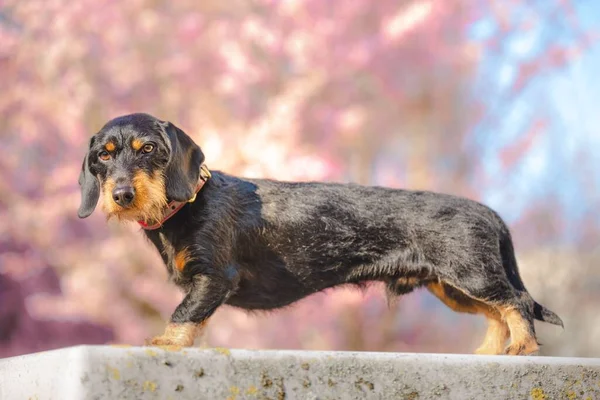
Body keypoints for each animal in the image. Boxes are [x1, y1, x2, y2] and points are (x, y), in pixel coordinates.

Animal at [78, 112, 564, 356]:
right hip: (453, 287)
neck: (189, 202)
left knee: (516, 303)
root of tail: (490, 213)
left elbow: (183, 313)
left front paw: (166, 341)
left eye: (149, 149)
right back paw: (490, 352)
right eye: (104, 156)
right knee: (496, 312)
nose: (121, 195)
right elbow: (195, 317)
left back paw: (522, 347)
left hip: (471, 275)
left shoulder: (215, 278)